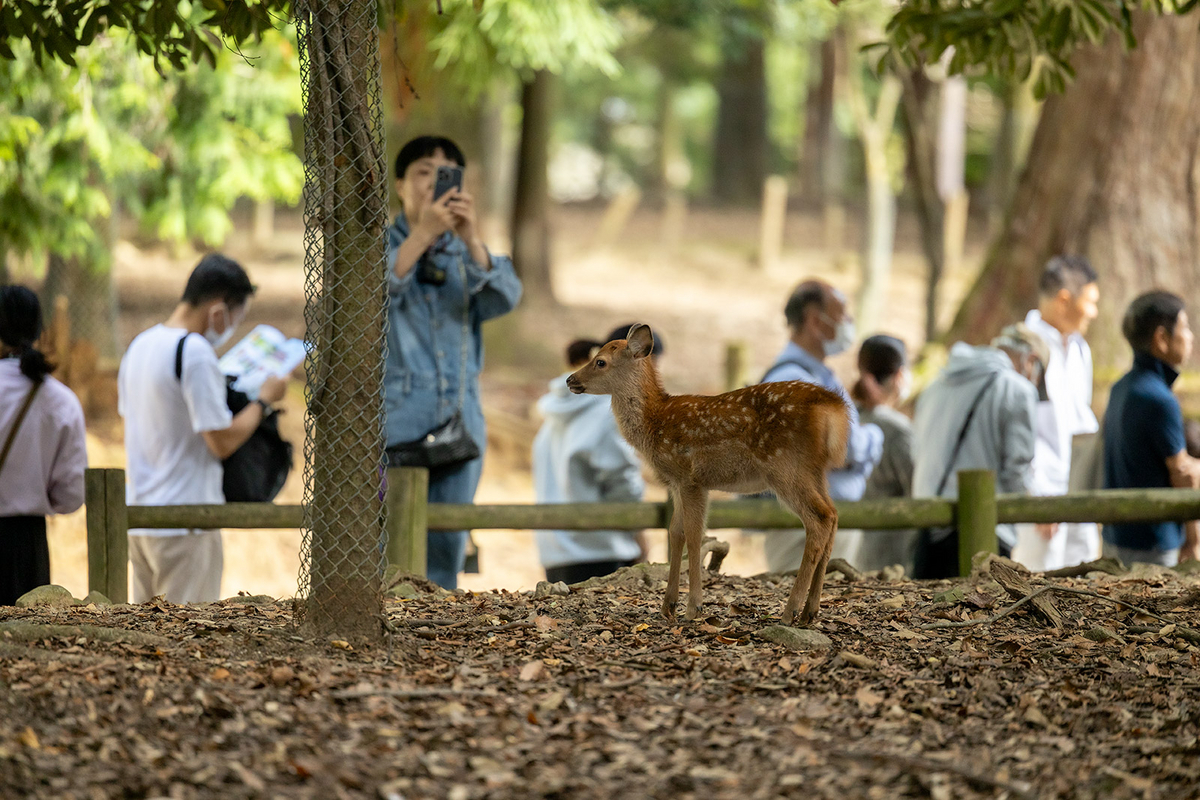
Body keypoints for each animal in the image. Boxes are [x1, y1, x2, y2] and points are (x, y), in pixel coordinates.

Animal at [566, 326, 849, 623]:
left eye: (600, 362)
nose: (570, 379)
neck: (655, 423)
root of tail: (834, 407)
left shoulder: (691, 478)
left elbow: (694, 535)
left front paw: (694, 607)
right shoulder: (676, 483)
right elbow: (675, 532)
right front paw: (668, 605)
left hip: (785, 467)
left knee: (819, 520)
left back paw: (790, 610)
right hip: (816, 471)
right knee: (833, 515)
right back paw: (810, 610)